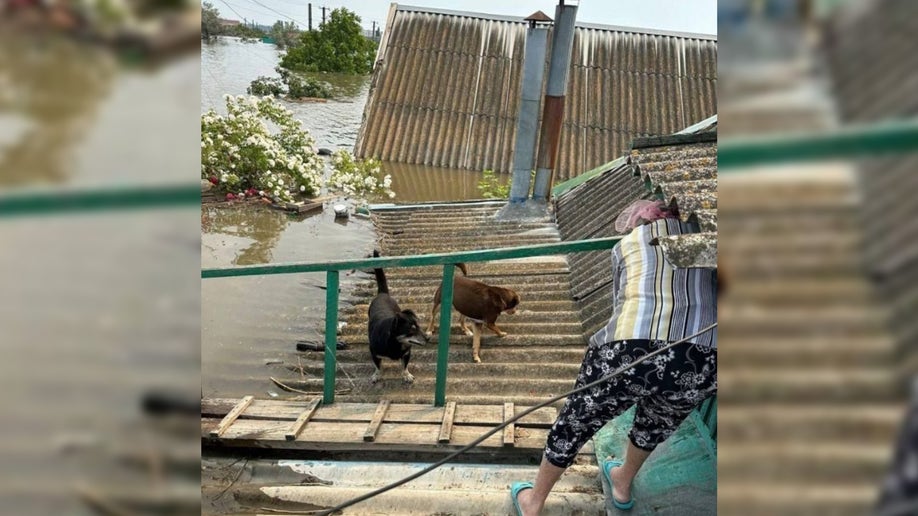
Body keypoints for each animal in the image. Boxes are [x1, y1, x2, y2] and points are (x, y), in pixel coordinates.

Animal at [366, 250, 428, 382]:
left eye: (419, 326)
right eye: (412, 329)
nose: (428, 338)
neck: (396, 342)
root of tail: (383, 293)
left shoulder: (407, 352)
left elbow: (405, 365)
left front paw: (406, 375)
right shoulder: (374, 352)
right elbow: (377, 365)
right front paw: (376, 375)